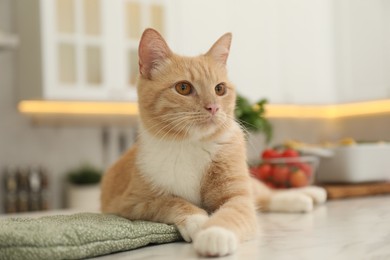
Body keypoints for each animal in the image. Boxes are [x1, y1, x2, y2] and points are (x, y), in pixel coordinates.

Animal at [100, 28, 326, 256]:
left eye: (220, 89)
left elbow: (235, 211)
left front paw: (215, 233)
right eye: (183, 87)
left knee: (264, 193)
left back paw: (307, 194)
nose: (213, 107)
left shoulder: (237, 195)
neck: (190, 144)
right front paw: (198, 220)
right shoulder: (129, 203)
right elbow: (168, 201)